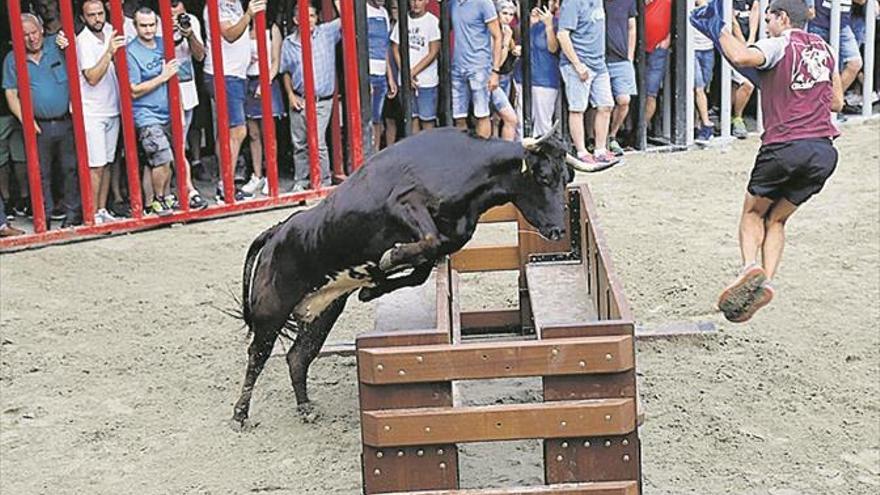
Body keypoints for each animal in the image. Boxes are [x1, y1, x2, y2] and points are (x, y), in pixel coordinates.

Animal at [230, 126, 608, 424]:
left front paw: (373, 285)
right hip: (271, 310)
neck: (469, 171)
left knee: (298, 357)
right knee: (257, 355)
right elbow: (425, 243)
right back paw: (240, 414)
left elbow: (424, 265)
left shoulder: (452, 237)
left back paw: (305, 407)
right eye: (543, 177)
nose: (558, 229)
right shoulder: (405, 204)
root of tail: (277, 231)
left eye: (567, 178)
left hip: (323, 311)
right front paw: (388, 259)